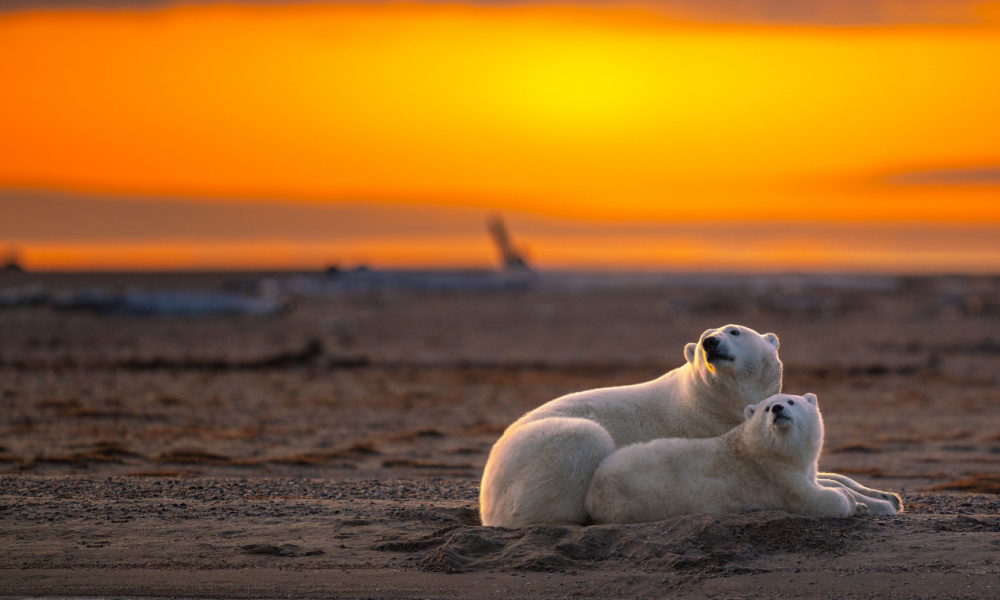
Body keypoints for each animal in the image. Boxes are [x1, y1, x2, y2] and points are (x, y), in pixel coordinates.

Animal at [480, 326, 784, 528]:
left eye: (734, 331)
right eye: (701, 341)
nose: (710, 342)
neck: (705, 400)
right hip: (535, 459)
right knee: (584, 438)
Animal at [584, 392, 900, 524]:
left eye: (791, 401)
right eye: (766, 408)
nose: (777, 409)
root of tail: (593, 487)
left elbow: (827, 480)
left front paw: (886, 500)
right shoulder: (773, 477)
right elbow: (815, 499)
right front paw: (855, 504)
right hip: (644, 497)